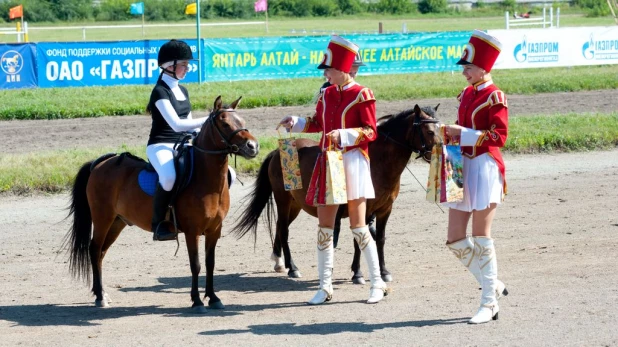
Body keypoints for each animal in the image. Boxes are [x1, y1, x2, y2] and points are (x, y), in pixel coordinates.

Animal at [66, 96, 258, 314]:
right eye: (225, 124)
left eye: (242, 121)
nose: (253, 146)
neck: (206, 179)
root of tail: (100, 163)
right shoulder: (192, 231)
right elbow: (196, 265)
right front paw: (197, 301)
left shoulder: (214, 229)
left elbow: (210, 263)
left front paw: (213, 298)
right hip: (102, 218)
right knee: (94, 249)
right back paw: (99, 297)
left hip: (117, 222)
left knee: (101, 253)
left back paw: (102, 293)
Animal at [231, 104, 438, 284]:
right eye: (429, 131)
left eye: (440, 127)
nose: (437, 152)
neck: (378, 163)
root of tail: (277, 152)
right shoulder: (363, 208)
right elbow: (358, 239)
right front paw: (357, 273)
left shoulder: (386, 209)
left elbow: (380, 239)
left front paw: (384, 271)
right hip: (283, 200)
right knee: (283, 230)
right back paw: (293, 268)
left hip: (296, 204)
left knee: (280, 227)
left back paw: (280, 262)